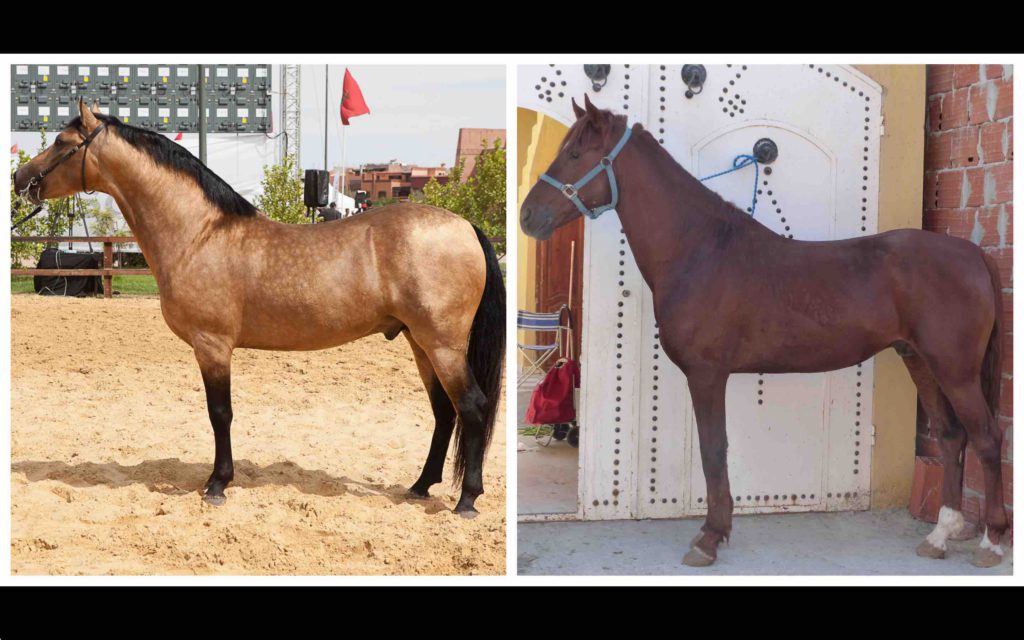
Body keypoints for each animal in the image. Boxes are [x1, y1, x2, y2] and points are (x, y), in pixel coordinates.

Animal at [13, 99, 505, 518]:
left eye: (62, 142)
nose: (20, 179)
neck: (199, 234)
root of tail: (465, 226)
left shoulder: (212, 346)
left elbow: (220, 414)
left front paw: (217, 485)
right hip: (419, 343)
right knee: (444, 412)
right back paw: (420, 486)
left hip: (442, 345)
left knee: (472, 408)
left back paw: (466, 500)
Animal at [520, 95, 1007, 568]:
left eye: (576, 153)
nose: (527, 216)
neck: (698, 250)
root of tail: (972, 254)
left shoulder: (707, 374)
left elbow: (714, 449)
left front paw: (709, 538)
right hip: (921, 361)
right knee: (951, 436)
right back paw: (940, 535)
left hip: (955, 371)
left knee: (986, 437)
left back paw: (991, 542)